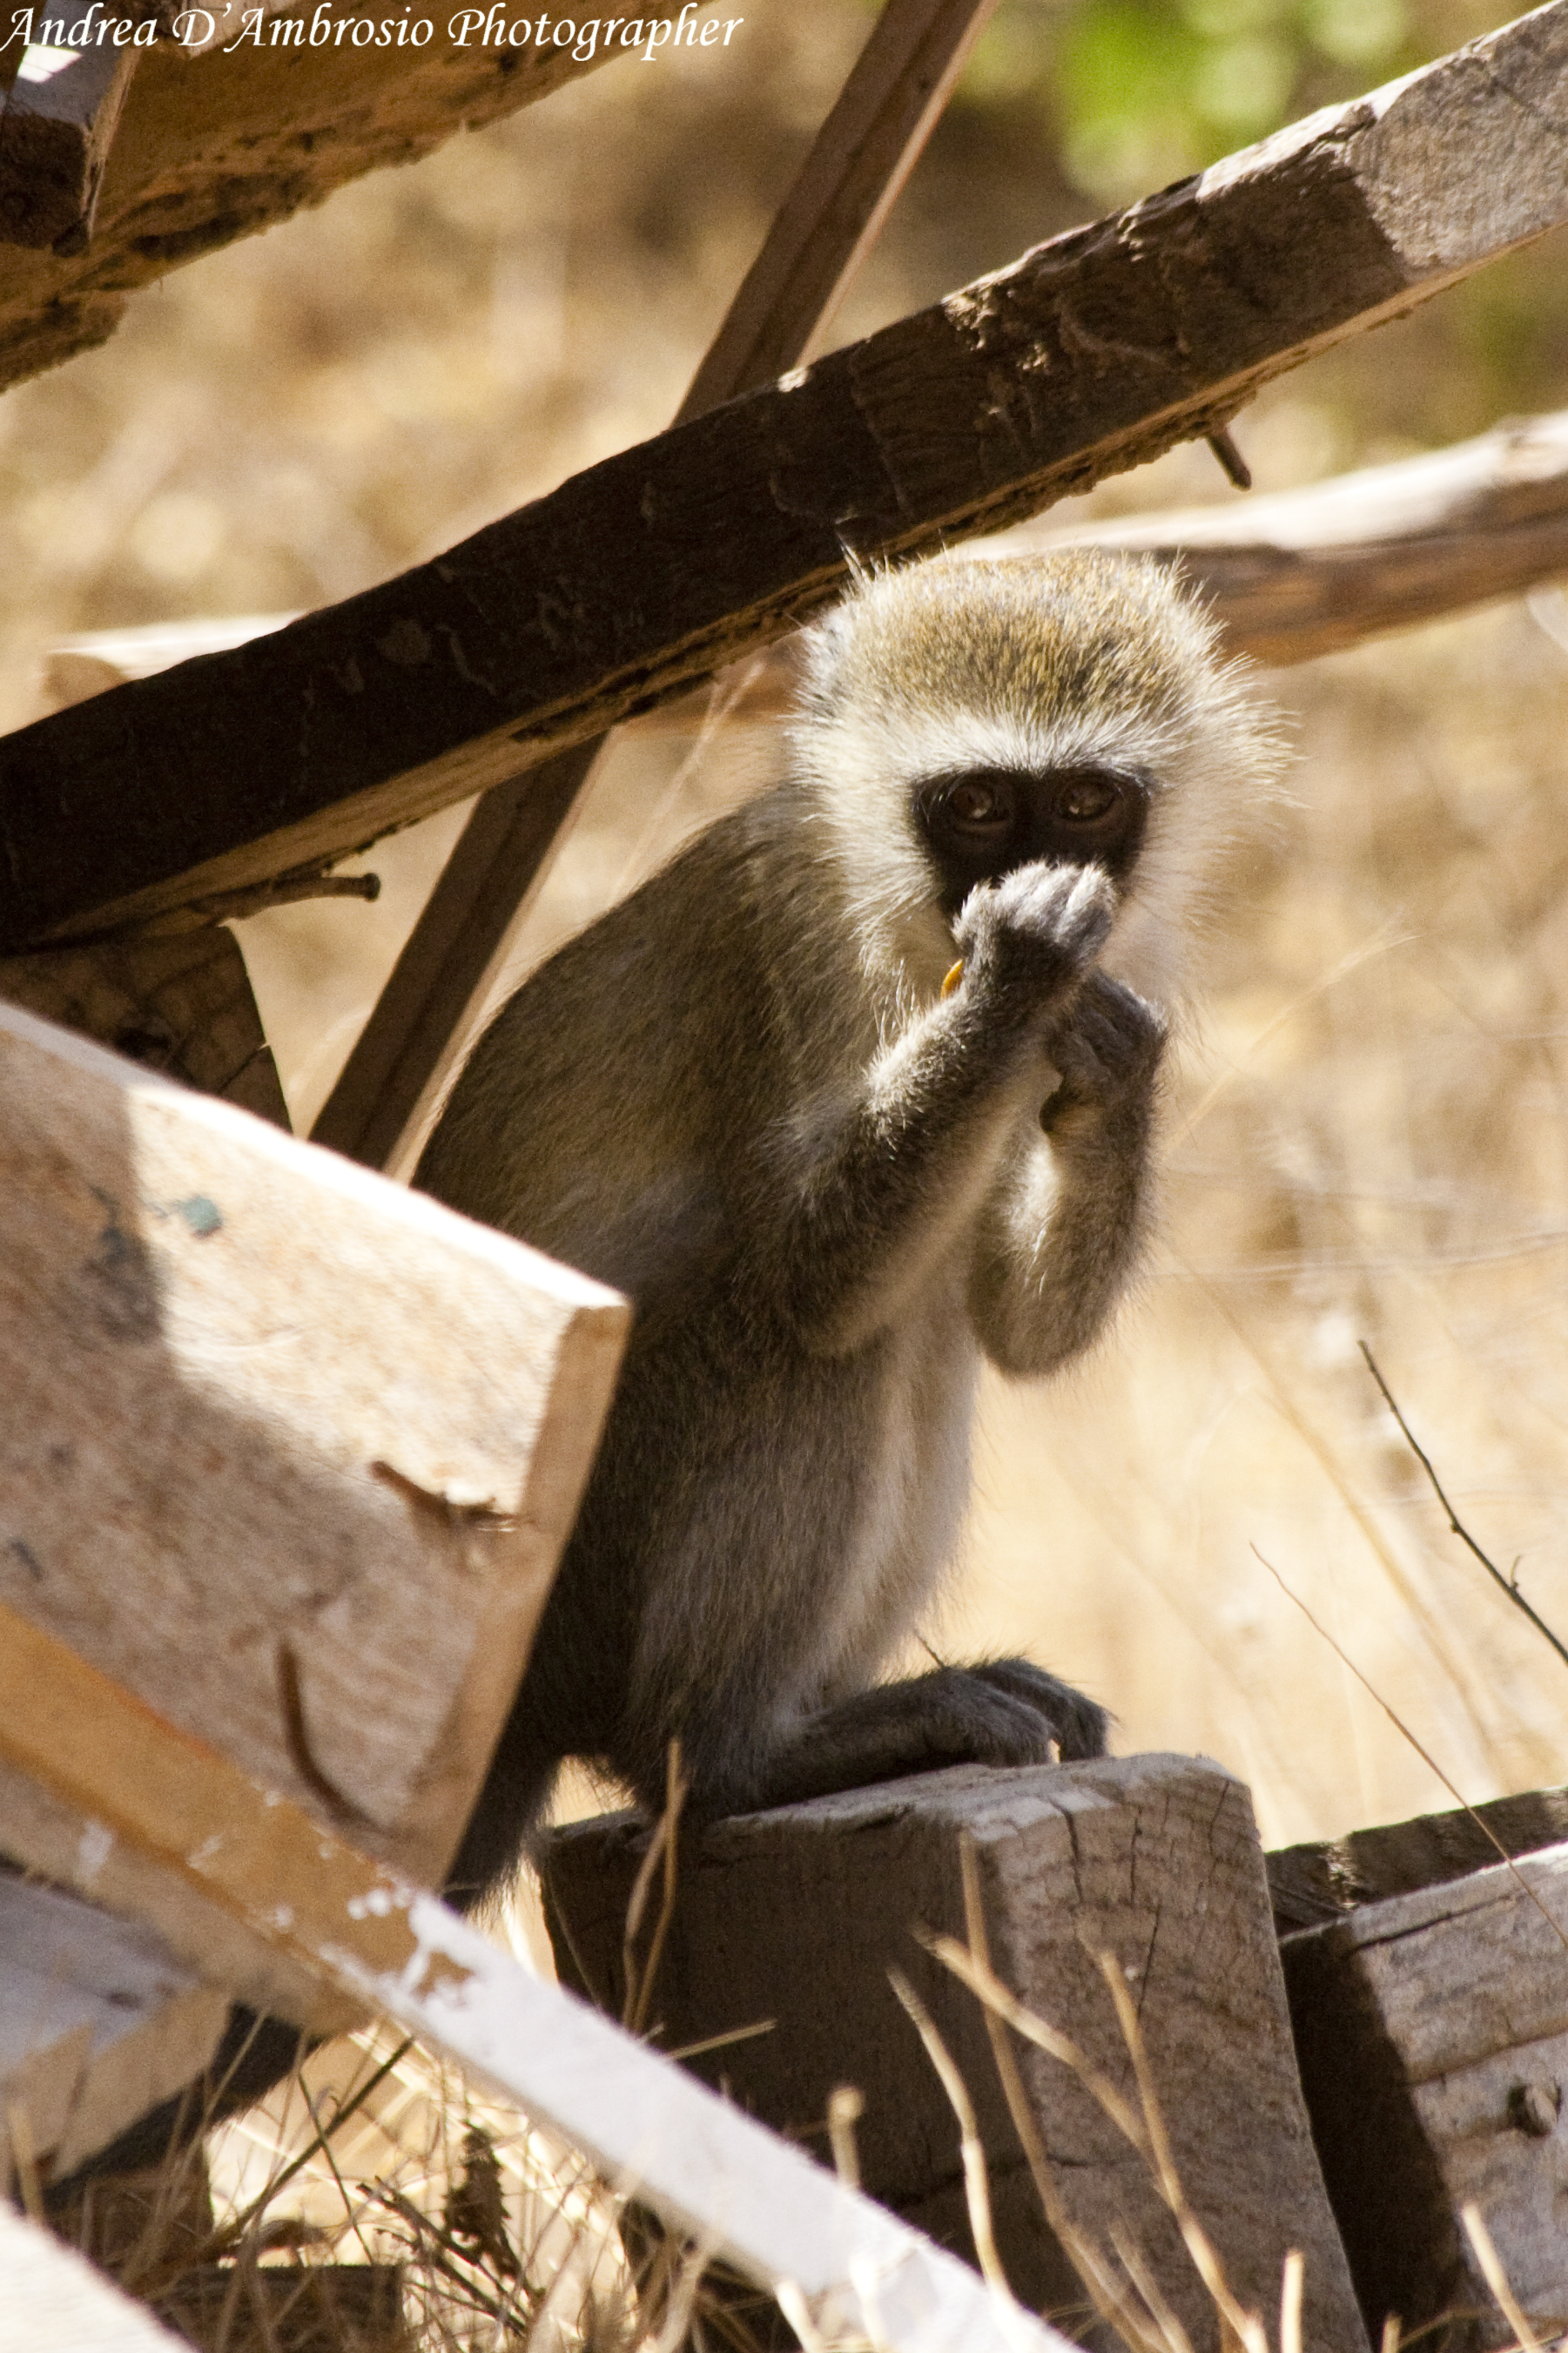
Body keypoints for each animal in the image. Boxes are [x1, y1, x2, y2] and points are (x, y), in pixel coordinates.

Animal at [417, 549, 1281, 1905]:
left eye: (1085, 800)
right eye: (975, 805)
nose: (1023, 888)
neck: (912, 924)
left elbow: (1013, 1327)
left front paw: (1114, 1058)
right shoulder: (797, 947)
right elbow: (816, 1276)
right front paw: (1016, 974)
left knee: (928, 1338)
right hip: (590, 1571)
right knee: (814, 1340)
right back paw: (734, 1753)